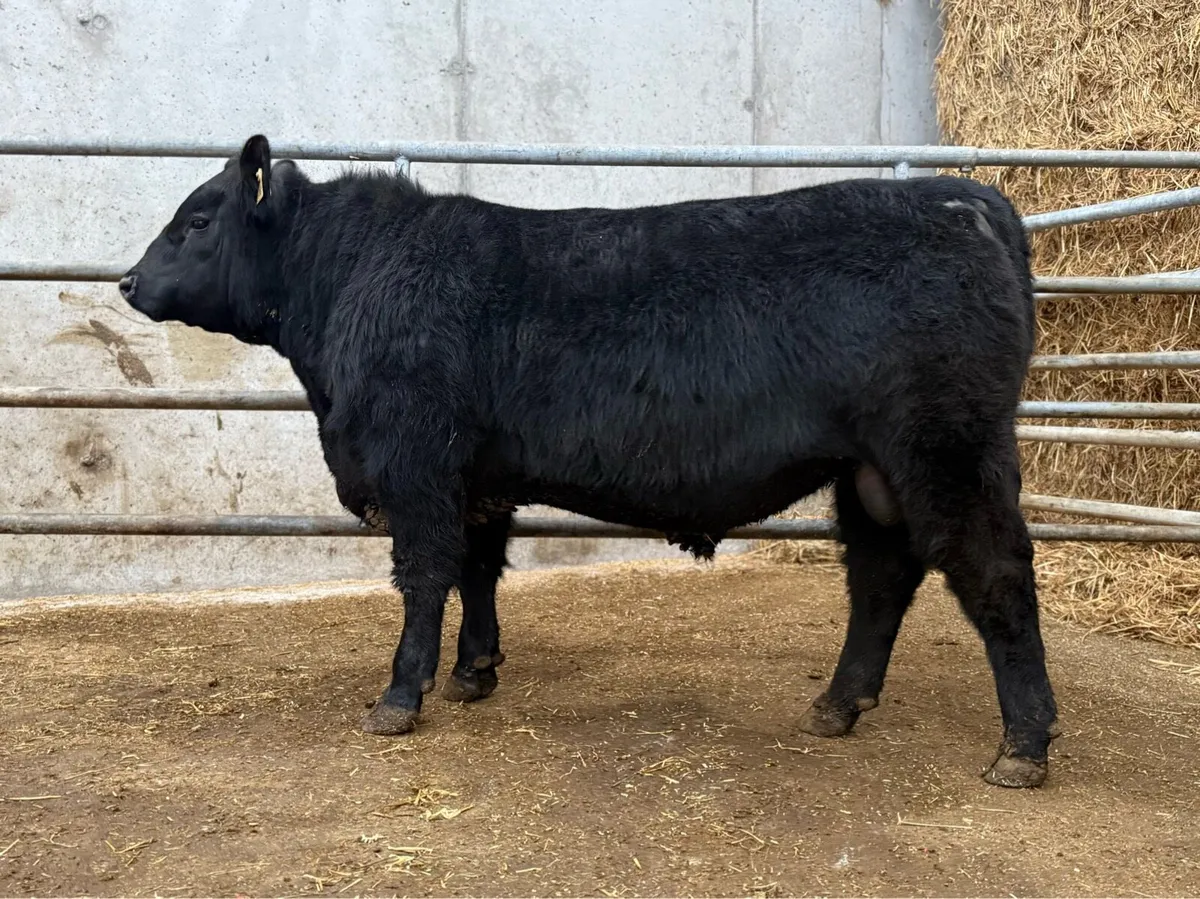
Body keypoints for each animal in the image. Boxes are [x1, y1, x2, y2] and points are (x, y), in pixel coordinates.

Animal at [119, 135, 1058, 788]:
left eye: (198, 219)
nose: (127, 281)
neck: (351, 282)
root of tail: (971, 197)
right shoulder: (479, 478)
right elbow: (479, 569)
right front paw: (474, 672)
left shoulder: (416, 463)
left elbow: (423, 575)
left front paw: (399, 696)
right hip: (871, 471)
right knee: (881, 576)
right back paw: (837, 704)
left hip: (947, 451)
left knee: (994, 571)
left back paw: (1023, 745)